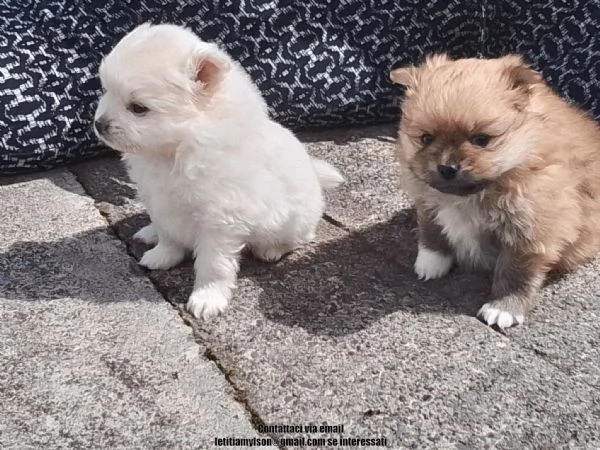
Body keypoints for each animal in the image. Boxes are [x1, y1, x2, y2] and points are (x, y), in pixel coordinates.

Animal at [96, 23, 344, 320]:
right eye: (106, 90)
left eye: (138, 108)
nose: (99, 124)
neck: (176, 150)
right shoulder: (159, 202)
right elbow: (168, 235)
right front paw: (161, 256)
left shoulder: (219, 221)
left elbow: (212, 265)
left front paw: (207, 298)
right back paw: (148, 233)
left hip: (295, 222)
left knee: (297, 238)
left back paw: (271, 249)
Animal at [392, 55, 600, 326]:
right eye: (426, 138)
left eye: (481, 139)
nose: (447, 167)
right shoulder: (428, 201)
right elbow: (432, 231)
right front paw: (430, 262)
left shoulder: (531, 228)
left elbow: (516, 271)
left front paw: (504, 308)